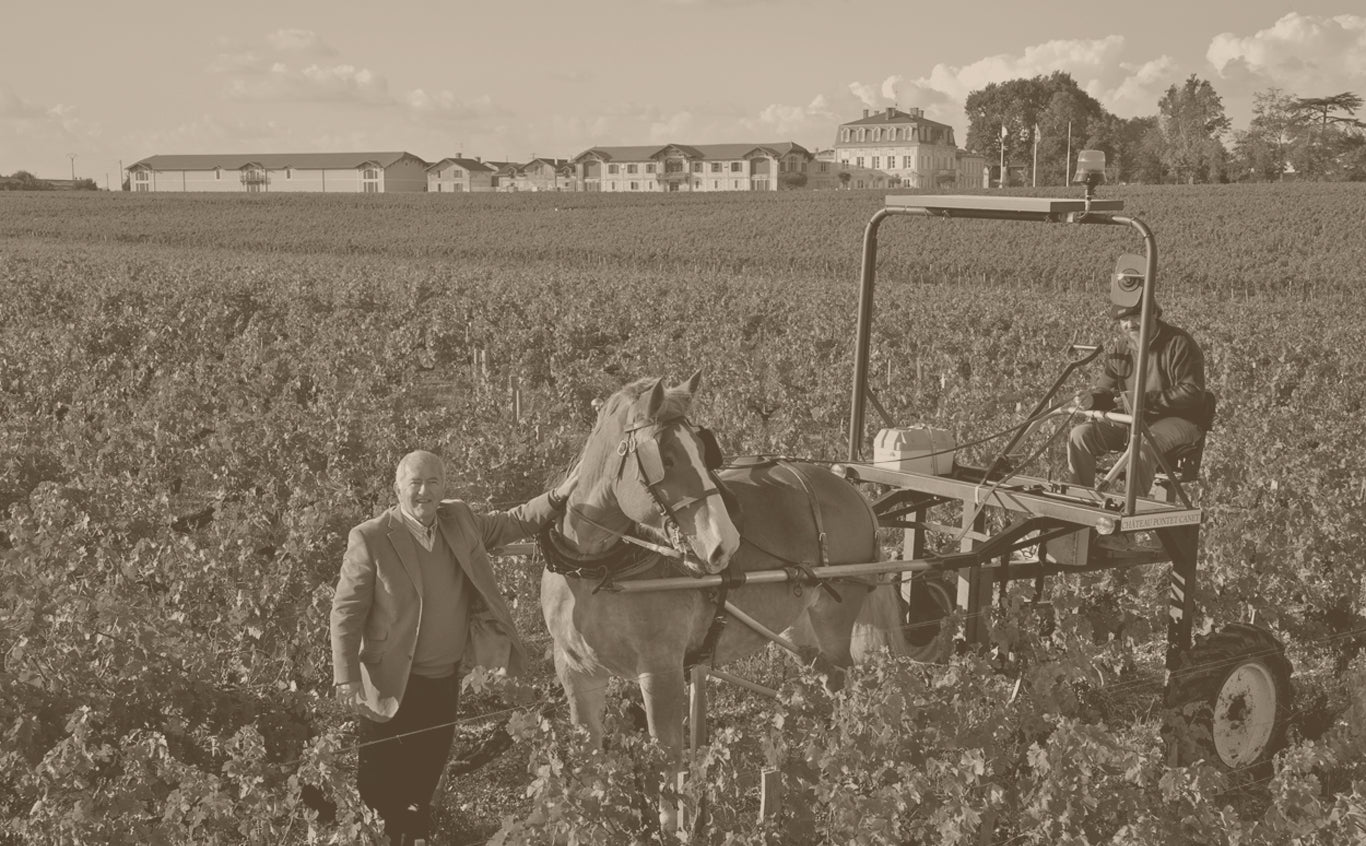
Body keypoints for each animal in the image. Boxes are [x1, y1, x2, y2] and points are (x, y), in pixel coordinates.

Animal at [540, 374, 907, 836]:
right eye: (667, 457)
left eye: (702, 450)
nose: (724, 544)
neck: (596, 566)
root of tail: (851, 490)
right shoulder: (576, 671)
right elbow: (590, 763)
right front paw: (593, 821)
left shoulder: (659, 672)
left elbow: (667, 761)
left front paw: (674, 826)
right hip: (798, 626)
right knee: (823, 681)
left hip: (835, 617)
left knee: (842, 687)